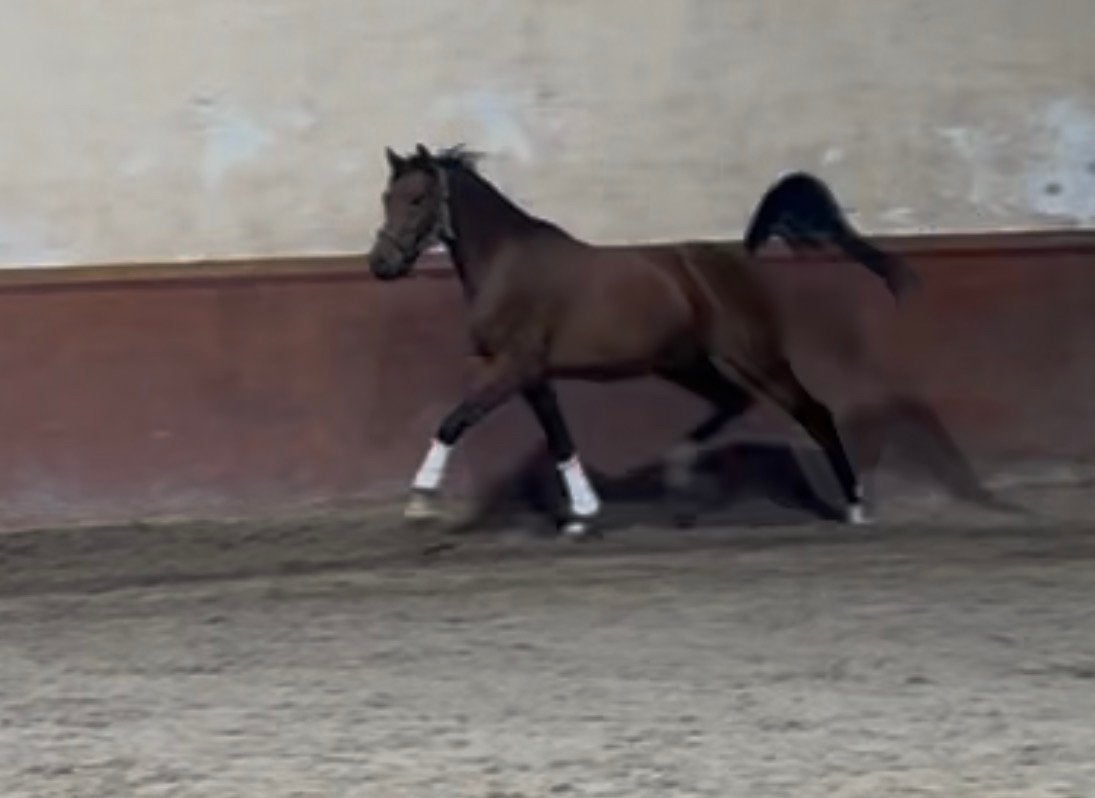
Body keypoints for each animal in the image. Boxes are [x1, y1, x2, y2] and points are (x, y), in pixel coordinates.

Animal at [367, 143, 919, 537]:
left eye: (417, 199)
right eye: (387, 197)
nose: (381, 265)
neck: (507, 261)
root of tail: (738, 259)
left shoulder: (512, 366)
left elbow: (454, 421)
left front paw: (419, 503)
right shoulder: (531, 374)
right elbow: (558, 437)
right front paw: (582, 515)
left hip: (754, 355)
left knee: (814, 412)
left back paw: (855, 507)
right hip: (686, 363)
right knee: (732, 401)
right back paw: (680, 479)